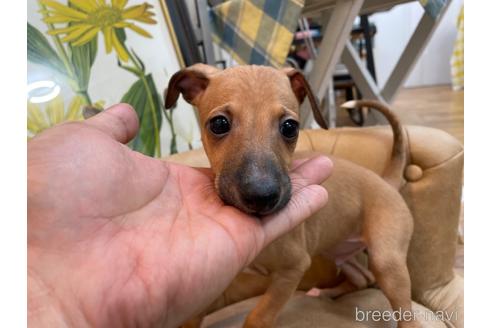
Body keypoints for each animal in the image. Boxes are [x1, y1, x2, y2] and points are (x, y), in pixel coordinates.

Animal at [164, 64, 416, 328]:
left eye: (290, 127)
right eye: (219, 124)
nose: (262, 196)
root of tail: (386, 181)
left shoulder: (293, 269)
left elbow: (258, 315)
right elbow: (194, 312)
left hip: (386, 261)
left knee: (404, 309)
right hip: (339, 249)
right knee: (362, 278)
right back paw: (325, 293)